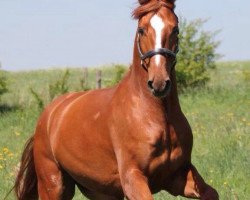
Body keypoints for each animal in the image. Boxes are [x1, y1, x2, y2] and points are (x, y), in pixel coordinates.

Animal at [14, 0, 219, 199]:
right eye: (141, 30)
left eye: (175, 29)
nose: (159, 83)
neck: (157, 117)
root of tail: (49, 114)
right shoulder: (132, 179)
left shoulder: (177, 176)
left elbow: (212, 193)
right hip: (53, 184)